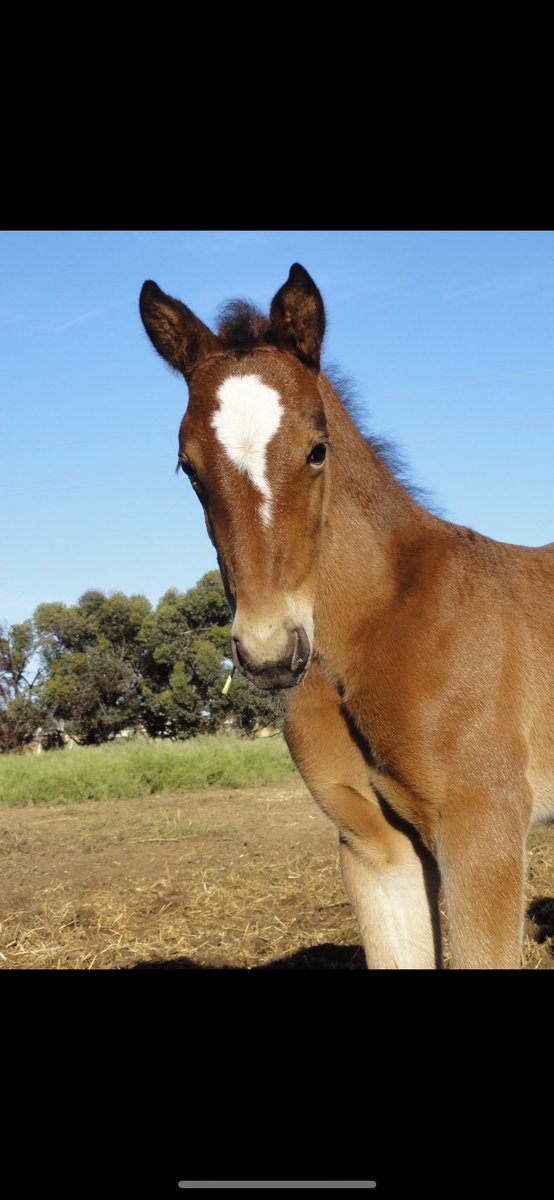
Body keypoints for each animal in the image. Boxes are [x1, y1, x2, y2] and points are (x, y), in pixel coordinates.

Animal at [139, 263, 554, 969]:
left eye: (317, 449)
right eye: (188, 468)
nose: (270, 650)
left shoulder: (485, 828)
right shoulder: (375, 848)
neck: (378, 630)